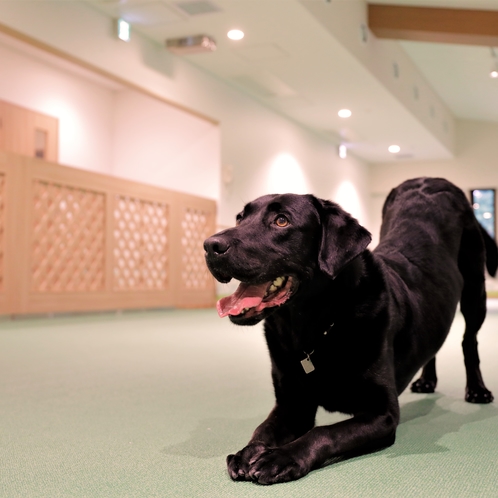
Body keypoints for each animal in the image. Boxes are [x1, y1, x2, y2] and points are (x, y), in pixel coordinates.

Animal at [204, 177, 496, 484]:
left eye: (281, 220)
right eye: (240, 217)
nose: (210, 245)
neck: (312, 330)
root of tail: (431, 179)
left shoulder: (382, 413)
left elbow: (323, 433)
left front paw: (281, 457)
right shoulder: (292, 404)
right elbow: (263, 429)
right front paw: (247, 453)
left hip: (474, 290)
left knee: (469, 342)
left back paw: (477, 390)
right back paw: (427, 381)